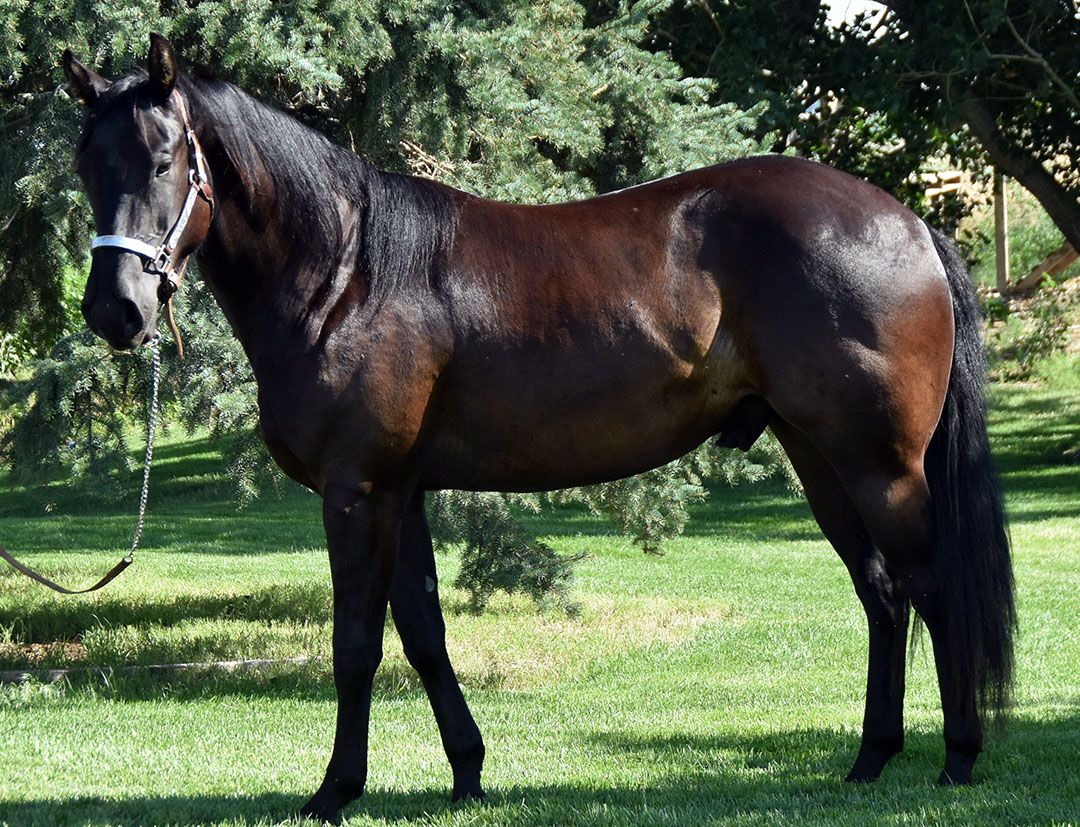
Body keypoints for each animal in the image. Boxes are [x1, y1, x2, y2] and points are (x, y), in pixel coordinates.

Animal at [62, 34, 1015, 825]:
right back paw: (868, 761)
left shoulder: (356, 490)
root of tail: (910, 225)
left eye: (162, 160)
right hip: (819, 456)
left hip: (881, 464)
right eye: (85, 167)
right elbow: (424, 633)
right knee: (883, 594)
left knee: (932, 588)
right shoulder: (401, 490)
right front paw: (467, 772)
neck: (347, 274)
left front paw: (335, 791)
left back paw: (958, 761)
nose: (116, 308)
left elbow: (356, 643)